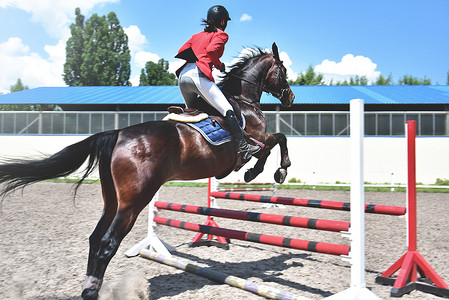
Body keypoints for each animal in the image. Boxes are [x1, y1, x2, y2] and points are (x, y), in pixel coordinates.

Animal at [0, 42, 294, 300]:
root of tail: (118, 133)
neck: (243, 101)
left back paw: (89, 287)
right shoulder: (257, 140)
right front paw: (271, 171)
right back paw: (93, 292)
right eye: (283, 70)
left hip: (113, 201)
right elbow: (276, 141)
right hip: (133, 202)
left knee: (95, 239)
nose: (290, 97)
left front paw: (261, 172)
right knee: (107, 244)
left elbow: (275, 143)